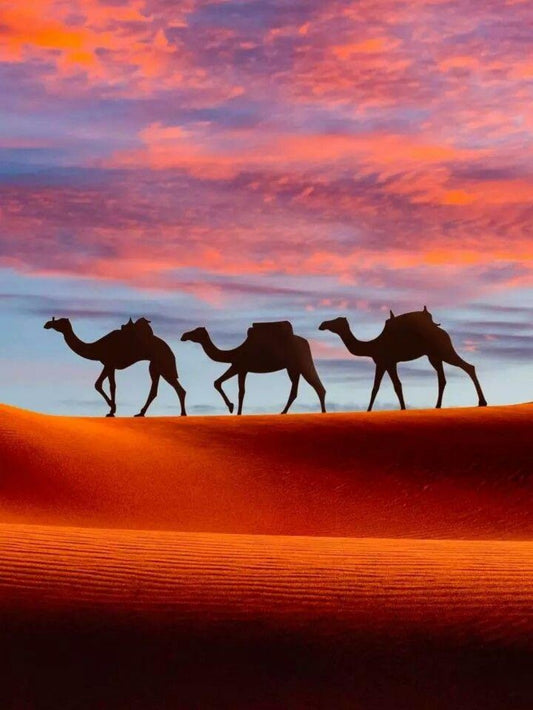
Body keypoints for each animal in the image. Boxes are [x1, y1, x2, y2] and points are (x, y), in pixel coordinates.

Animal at [44, 317, 186, 417]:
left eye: (60, 322)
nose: (47, 324)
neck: (97, 347)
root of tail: (170, 351)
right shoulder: (109, 365)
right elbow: (111, 385)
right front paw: (112, 410)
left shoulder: (109, 363)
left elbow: (100, 384)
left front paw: (112, 409)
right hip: (156, 366)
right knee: (160, 389)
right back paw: (142, 413)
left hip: (162, 364)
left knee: (174, 388)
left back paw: (181, 413)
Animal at [180, 321, 326, 415]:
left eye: (196, 332)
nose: (184, 336)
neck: (233, 353)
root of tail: (306, 342)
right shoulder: (242, 369)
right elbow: (235, 389)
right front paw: (234, 409)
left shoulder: (239, 366)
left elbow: (235, 390)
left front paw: (233, 409)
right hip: (293, 367)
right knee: (298, 389)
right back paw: (284, 412)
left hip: (300, 362)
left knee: (316, 385)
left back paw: (322, 412)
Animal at [319, 307, 487, 411]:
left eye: (336, 321)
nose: (322, 324)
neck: (372, 345)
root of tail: (442, 331)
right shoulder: (384, 363)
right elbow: (377, 387)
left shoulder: (387, 362)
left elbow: (393, 386)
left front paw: (399, 408)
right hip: (434, 356)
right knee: (442, 378)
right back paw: (437, 406)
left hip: (444, 350)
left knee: (468, 367)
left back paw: (482, 402)